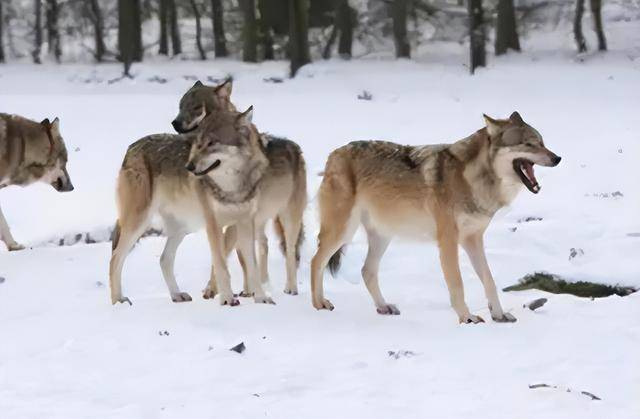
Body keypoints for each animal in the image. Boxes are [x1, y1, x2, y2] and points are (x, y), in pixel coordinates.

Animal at [109, 106, 304, 306]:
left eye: (211, 143)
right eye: (198, 143)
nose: (188, 166)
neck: (232, 187)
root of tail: (132, 147)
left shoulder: (245, 223)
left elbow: (252, 266)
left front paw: (261, 298)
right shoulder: (214, 224)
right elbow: (221, 264)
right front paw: (227, 299)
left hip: (185, 227)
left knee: (164, 259)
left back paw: (177, 295)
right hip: (139, 222)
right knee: (115, 258)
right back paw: (118, 300)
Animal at [172, 79, 308, 296]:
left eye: (196, 108)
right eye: (180, 106)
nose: (175, 123)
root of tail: (295, 147)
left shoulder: (236, 222)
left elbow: (225, 255)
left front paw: (214, 289)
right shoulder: (221, 218)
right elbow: (233, 255)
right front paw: (246, 290)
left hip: (289, 219)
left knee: (290, 250)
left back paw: (290, 288)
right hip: (261, 221)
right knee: (264, 244)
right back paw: (264, 282)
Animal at [308, 112, 560, 324]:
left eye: (542, 142)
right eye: (528, 144)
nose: (557, 158)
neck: (473, 179)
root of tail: (334, 154)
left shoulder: (473, 239)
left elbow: (489, 280)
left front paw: (499, 315)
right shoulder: (449, 240)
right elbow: (457, 283)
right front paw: (467, 318)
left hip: (382, 236)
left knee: (366, 270)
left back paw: (383, 307)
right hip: (343, 232)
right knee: (315, 261)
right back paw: (319, 304)